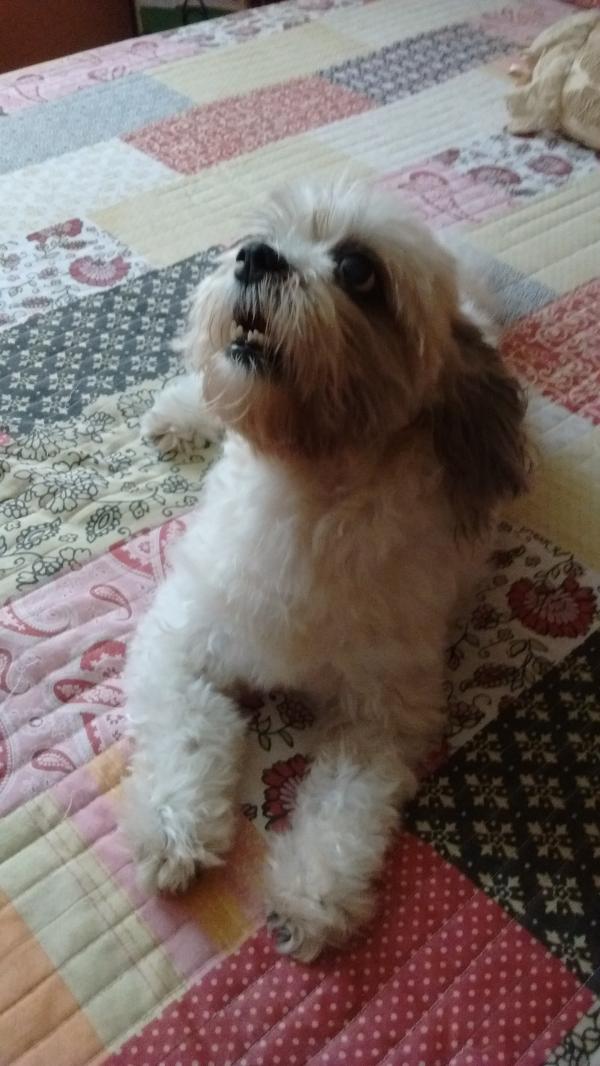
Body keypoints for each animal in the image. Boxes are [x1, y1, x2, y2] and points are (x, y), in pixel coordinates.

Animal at [122, 181, 528, 962]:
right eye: (262, 233)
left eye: (359, 272)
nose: (255, 256)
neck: (304, 495)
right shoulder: (180, 641)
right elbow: (189, 731)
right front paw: (177, 827)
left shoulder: (384, 716)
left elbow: (347, 808)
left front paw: (314, 893)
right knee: (205, 386)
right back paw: (181, 412)